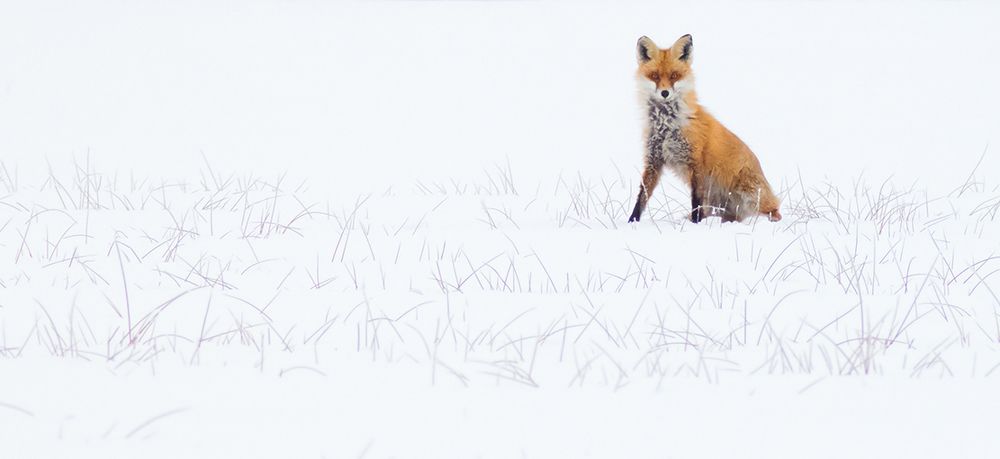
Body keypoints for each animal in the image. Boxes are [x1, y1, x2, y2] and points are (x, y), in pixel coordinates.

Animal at [627, 34, 781, 224]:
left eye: (674, 75)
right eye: (654, 76)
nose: (665, 93)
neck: (666, 125)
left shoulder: (696, 162)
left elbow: (696, 200)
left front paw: (695, 224)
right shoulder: (653, 160)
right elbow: (642, 197)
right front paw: (631, 221)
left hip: (750, 192)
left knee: (775, 211)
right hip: (719, 204)